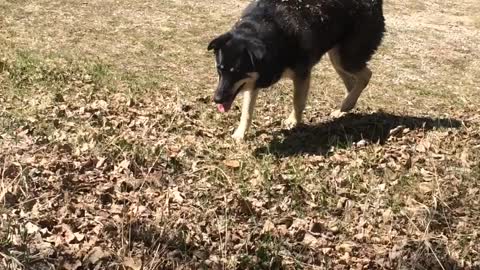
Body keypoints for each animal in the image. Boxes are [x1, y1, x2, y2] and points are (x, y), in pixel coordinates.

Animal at [209, 0, 386, 139]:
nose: (216, 99)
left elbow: (297, 101)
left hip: (345, 59)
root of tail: (376, 2)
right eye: (219, 69)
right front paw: (240, 134)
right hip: (337, 58)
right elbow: (246, 112)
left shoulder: (302, 74)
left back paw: (346, 105)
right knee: (351, 83)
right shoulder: (254, 81)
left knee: (366, 75)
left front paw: (294, 121)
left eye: (237, 71)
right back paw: (344, 108)